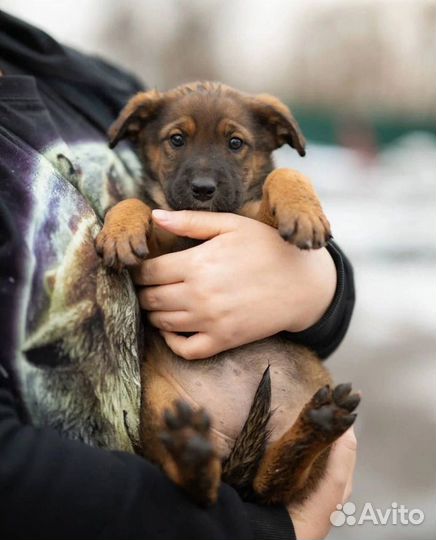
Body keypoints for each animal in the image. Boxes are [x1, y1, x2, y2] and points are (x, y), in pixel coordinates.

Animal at [94, 81, 358, 506]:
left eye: (235, 143)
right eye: (177, 140)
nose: (203, 190)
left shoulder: (256, 221)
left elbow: (284, 173)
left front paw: (304, 212)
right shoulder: (157, 251)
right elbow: (134, 202)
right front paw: (119, 232)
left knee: (273, 484)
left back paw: (318, 425)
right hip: (156, 401)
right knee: (208, 487)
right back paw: (192, 451)